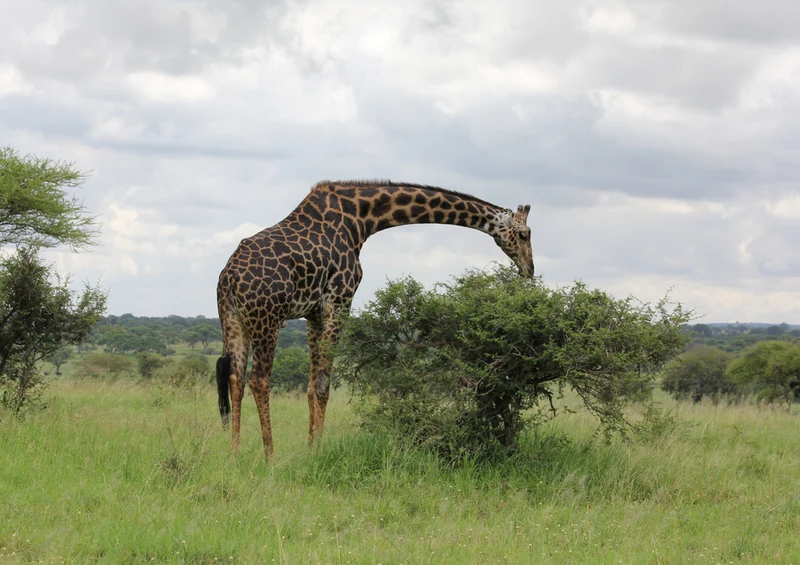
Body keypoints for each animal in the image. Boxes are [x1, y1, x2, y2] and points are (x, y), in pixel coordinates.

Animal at [216, 180, 534, 461]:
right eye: (524, 234)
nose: (529, 269)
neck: (362, 219)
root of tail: (229, 277)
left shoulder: (313, 312)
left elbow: (310, 386)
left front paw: (309, 446)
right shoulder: (339, 300)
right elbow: (323, 385)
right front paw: (317, 451)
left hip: (233, 320)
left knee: (235, 379)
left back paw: (234, 455)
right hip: (268, 319)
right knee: (259, 380)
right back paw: (270, 457)